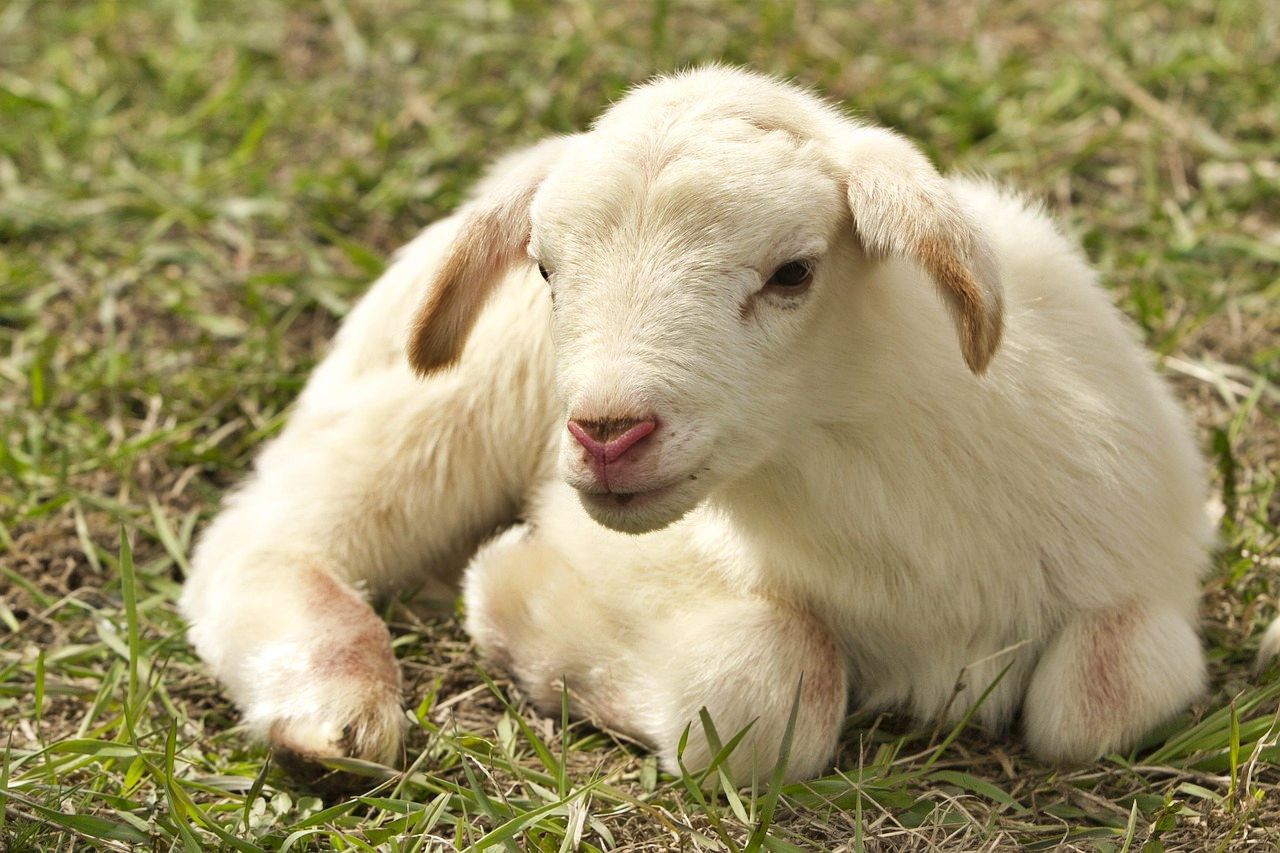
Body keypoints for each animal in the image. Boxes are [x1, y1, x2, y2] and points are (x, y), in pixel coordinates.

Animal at [180, 66, 1276, 785]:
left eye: (793, 271)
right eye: (544, 268)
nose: (606, 432)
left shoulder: (1141, 569)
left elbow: (1104, 691)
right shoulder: (626, 549)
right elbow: (773, 685)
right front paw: (519, 614)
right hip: (434, 404)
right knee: (263, 536)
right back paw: (332, 710)